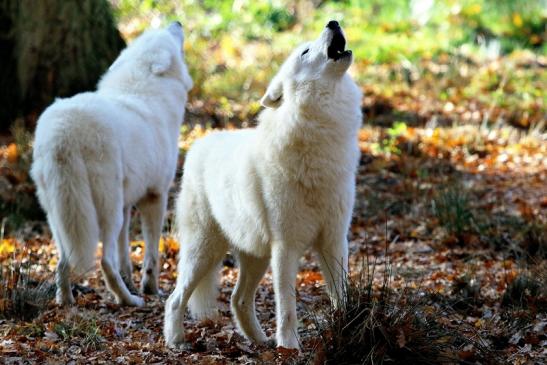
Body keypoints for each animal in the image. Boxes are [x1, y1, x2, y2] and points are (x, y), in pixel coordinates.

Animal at [31, 22, 195, 308]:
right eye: (169, 36)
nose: (177, 22)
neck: (143, 87)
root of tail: (64, 131)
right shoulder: (156, 196)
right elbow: (151, 254)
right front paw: (151, 289)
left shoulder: (128, 204)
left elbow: (124, 254)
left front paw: (131, 279)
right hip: (108, 210)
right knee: (105, 261)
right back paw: (129, 300)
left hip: (59, 214)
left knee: (63, 263)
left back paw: (66, 301)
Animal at [165, 20, 362, 350]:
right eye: (305, 51)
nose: (333, 22)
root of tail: (198, 144)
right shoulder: (286, 247)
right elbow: (287, 306)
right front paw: (290, 347)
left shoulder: (335, 240)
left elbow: (341, 295)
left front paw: (347, 331)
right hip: (205, 251)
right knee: (175, 298)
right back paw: (176, 341)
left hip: (254, 255)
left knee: (237, 299)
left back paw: (259, 341)